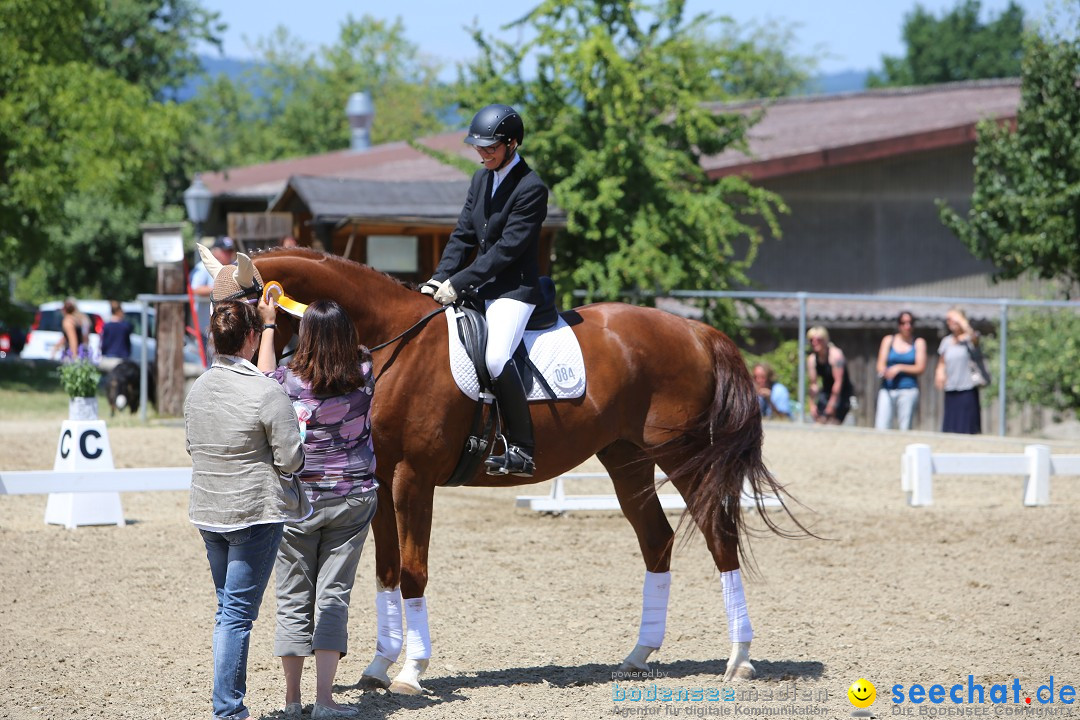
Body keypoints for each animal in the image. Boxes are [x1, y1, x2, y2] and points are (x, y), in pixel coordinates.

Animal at [252, 248, 794, 690]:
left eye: (244, 313)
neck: (392, 344)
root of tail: (697, 331)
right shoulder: (382, 481)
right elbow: (386, 572)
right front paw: (378, 667)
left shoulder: (413, 479)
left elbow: (412, 572)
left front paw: (410, 672)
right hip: (626, 459)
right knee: (657, 540)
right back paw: (639, 655)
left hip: (681, 456)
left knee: (719, 535)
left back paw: (739, 659)